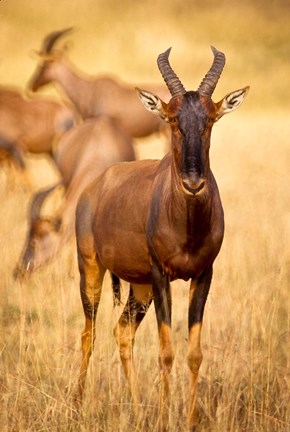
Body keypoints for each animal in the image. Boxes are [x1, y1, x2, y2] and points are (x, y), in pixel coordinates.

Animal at [73, 45, 248, 430]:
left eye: (210, 119)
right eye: (171, 119)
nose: (193, 183)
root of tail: (96, 185)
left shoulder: (203, 275)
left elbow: (194, 354)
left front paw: (190, 420)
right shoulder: (161, 275)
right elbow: (166, 352)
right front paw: (167, 420)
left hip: (139, 288)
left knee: (122, 333)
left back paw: (138, 411)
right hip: (91, 270)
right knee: (89, 334)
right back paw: (75, 404)